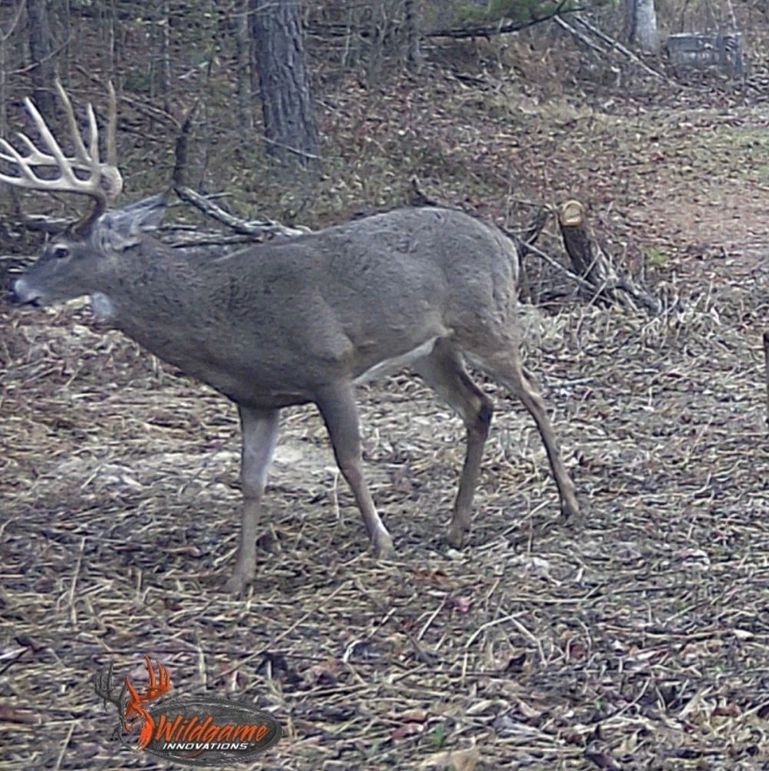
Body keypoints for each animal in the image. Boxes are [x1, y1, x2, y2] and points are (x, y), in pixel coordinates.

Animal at [3, 84, 580, 596]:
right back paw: (457, 526)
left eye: (59, 250)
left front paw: (382, 542)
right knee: (479, 407)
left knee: (534, 395)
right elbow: (250, 480)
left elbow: (349, 459)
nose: (16, 289)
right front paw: (239, 578)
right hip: (432, 351)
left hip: (485, 321)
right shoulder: (256, 399)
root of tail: (505, 242)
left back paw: (569, 504)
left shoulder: (329, 367)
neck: (224, 319)